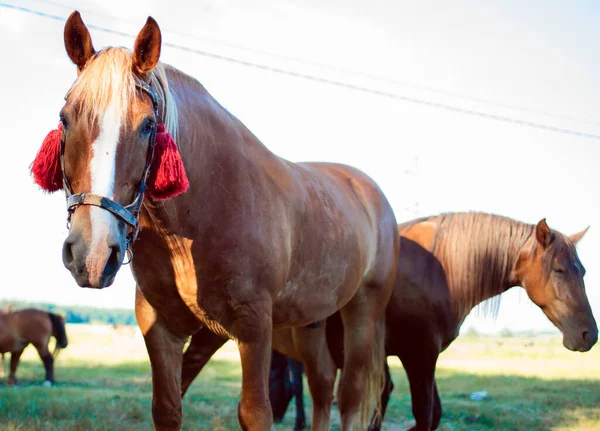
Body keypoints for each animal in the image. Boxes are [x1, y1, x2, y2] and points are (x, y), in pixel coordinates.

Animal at [32, 10, 400, 431]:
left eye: (147, 125)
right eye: (65, 118)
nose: (91, 255)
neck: (204, 213)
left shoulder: (254, 327)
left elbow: (256, 412)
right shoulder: (162, 326)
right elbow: (168, 407)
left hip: (362, 312)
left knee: (350, 395)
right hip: (310, 321)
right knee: (322, 384)